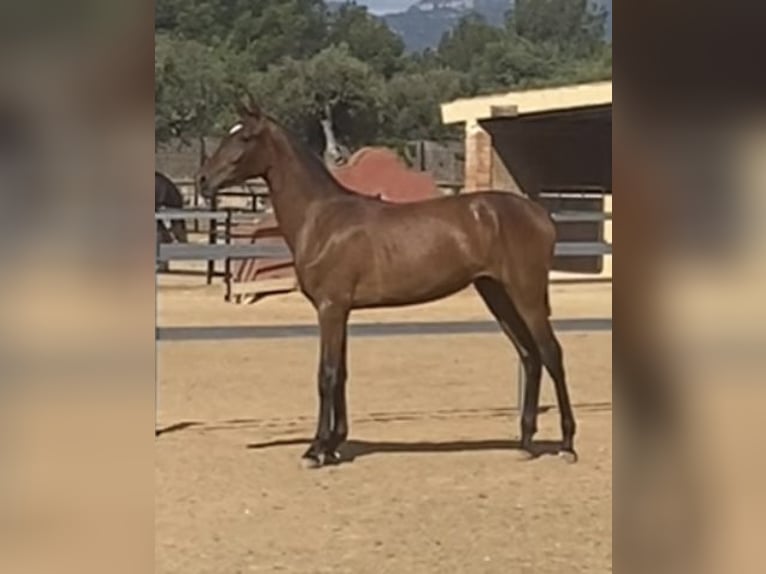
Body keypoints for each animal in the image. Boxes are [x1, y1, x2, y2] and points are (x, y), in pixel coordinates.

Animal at [196, 98, 576, 468]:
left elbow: (326, 375)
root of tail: (540, 215)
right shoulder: (341, 311)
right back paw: (525, 443)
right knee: (529, 356)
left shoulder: (330, 308)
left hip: (526, 295)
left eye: (245, 138)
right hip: (496, 294)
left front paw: (316, 450)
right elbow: (341, 373)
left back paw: (567, 444)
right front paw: (334, 444)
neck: (322, 218)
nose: (202, 180)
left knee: (551, 354)